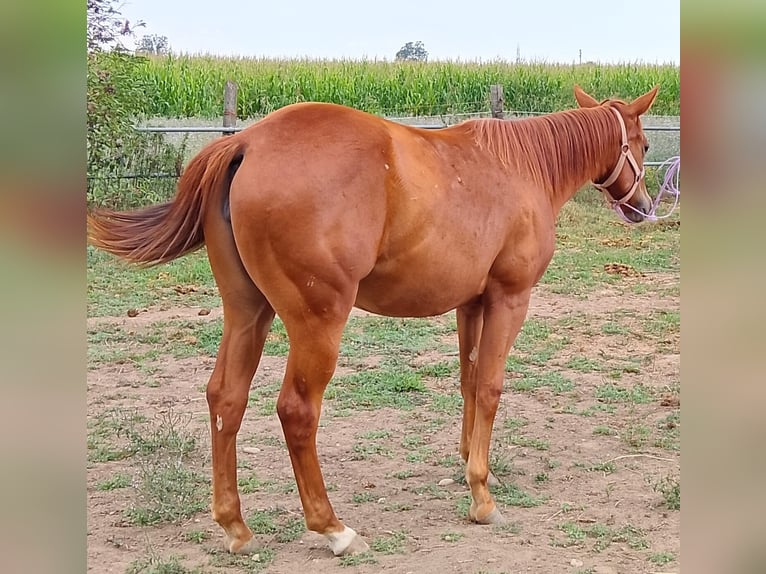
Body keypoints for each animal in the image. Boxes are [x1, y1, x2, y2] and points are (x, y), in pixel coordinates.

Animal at [88, 85, 659, 556]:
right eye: (645, 146)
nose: (644, 207)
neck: (521, 167)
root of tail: (245, 143)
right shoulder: (508, 299)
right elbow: (491, 387)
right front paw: (482, 496)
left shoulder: (471, 303)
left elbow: (469, 382)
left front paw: (468, 466)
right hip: (318, 322)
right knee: (297, 411)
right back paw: (333, 528)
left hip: (248, 310)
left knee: (226, 398)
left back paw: (236, 527)